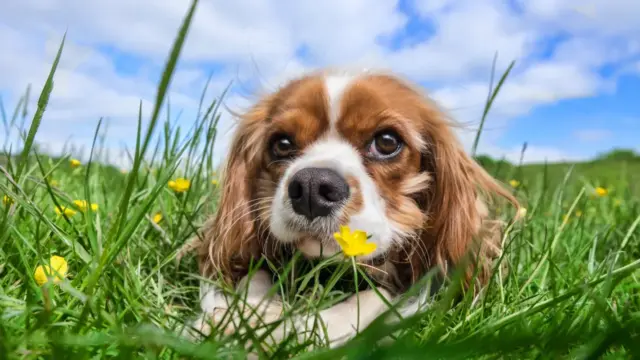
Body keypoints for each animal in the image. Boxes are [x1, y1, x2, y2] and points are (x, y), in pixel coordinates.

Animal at [180, 69, 520, 350]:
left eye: (387, 141)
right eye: (282, 144)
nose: (312, 187)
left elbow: (375, 297)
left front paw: (287, 330)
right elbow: (252, 278)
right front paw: (237, 320)